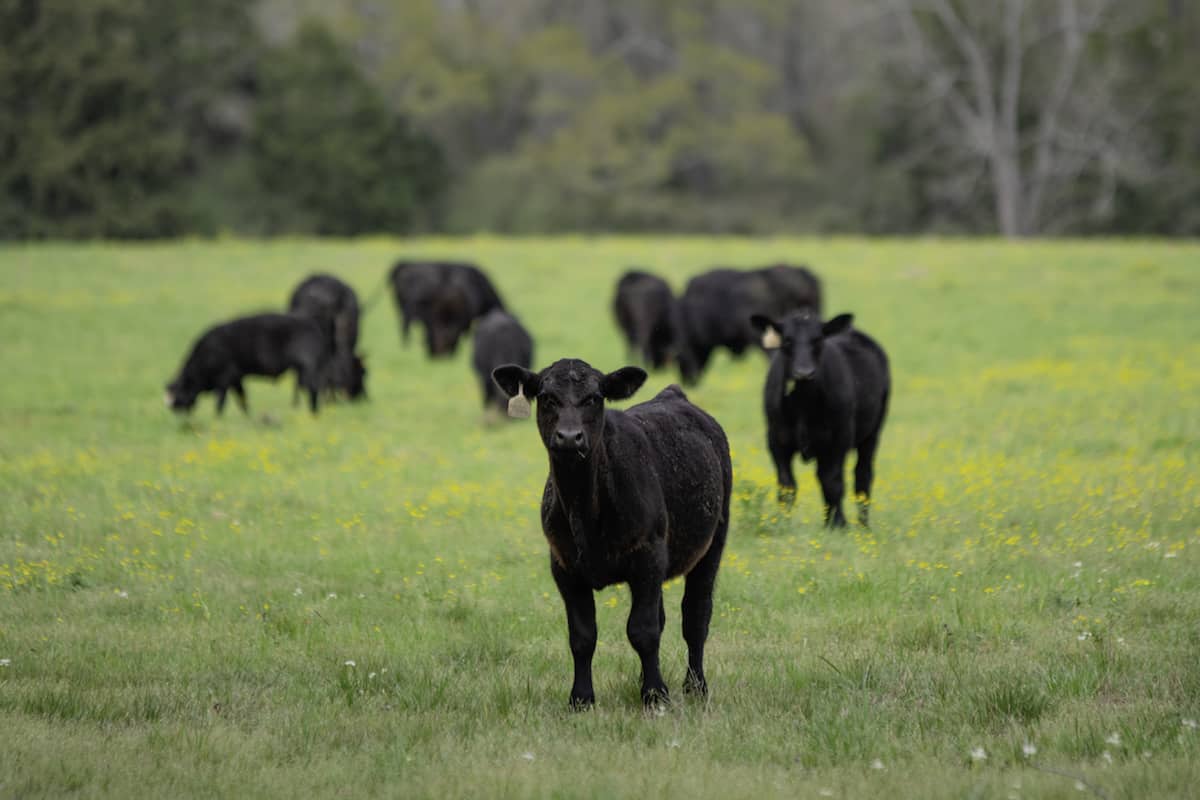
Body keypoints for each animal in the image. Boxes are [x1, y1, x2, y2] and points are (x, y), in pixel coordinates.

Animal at [165, 313, 330, 416]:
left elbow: (221, 402)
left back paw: (314, 412)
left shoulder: (224, 379)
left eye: (177, 393)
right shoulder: (236, 379)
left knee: (313, 388)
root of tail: (312, 325)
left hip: (307, 367)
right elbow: (242, 399)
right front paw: (247, 416)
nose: (176, 413)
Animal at [491, 359, 732, 709]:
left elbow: (643, 630)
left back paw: (695, 687)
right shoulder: (564, 566)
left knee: (696, 616)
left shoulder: (648, 555)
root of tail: (673, 395)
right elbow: (582, 635)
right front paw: (581, 698)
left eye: (594, 397)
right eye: (547, 397)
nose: (569, 438)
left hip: (713, 542)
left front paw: (655, 696)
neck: (585, 510)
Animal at [749, 310, 890, 528]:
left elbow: (833, 482)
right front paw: (781, 524)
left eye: (818, 340)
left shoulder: (838, 439)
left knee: (862, 476)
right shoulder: (776, 439)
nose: (804, 372)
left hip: (872, 432)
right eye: (787, 340)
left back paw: (863, 525)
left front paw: (838, 524)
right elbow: (786, 485)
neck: (803, 404)